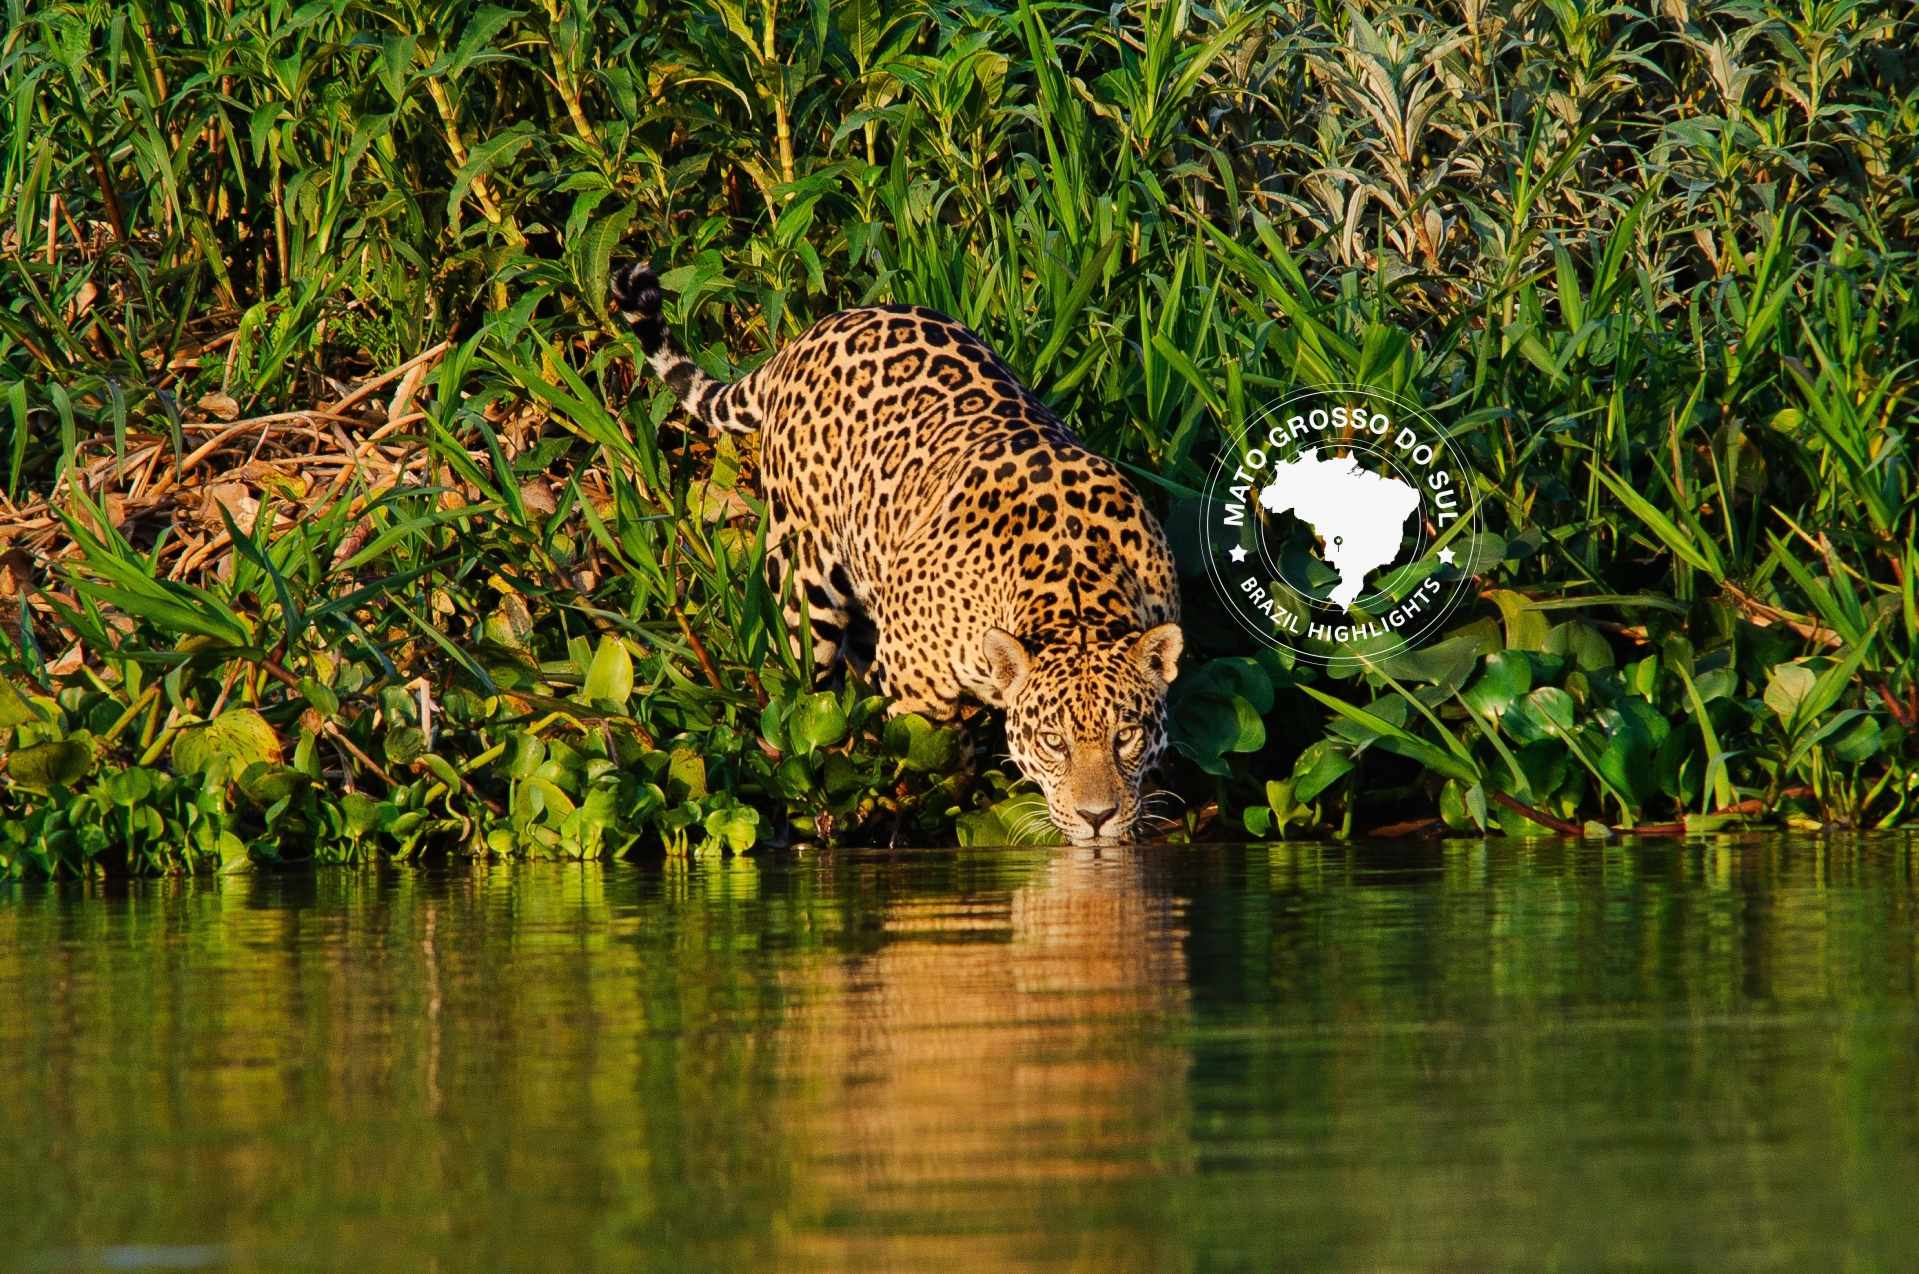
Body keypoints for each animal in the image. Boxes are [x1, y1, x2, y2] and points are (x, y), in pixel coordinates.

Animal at [611, 261, 1183, 845]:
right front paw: (943, 813)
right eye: (1053, 741)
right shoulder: (917, 688)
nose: (1097, 817)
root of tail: (808, 335)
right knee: (805, 699)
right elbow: (935, 757)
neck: (1075, 588)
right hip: (803, 591)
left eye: (1126, 735)